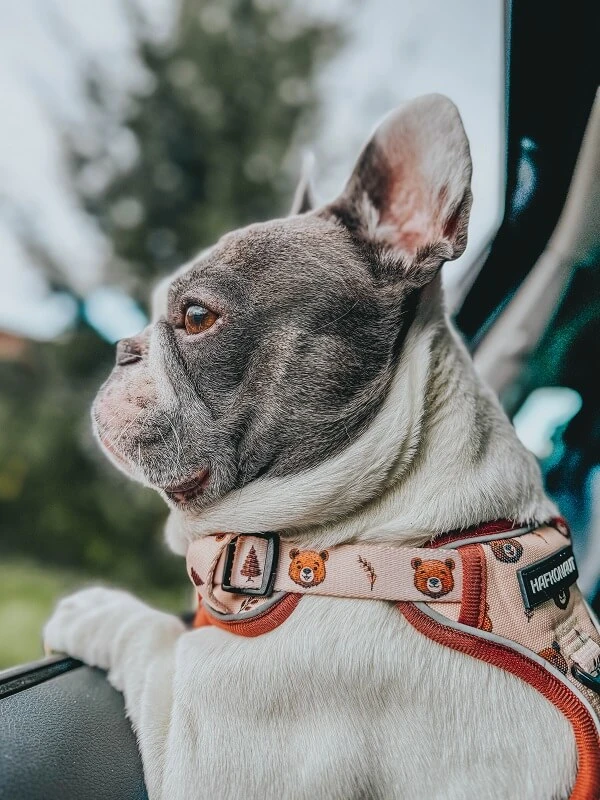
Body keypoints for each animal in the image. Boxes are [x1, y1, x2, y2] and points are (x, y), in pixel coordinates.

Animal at [45, 94, 593, 800]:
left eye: (196, 317)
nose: (123, 348)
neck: (384, 549)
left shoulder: (207, 748)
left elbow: (152, 637)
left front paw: (91, 610)